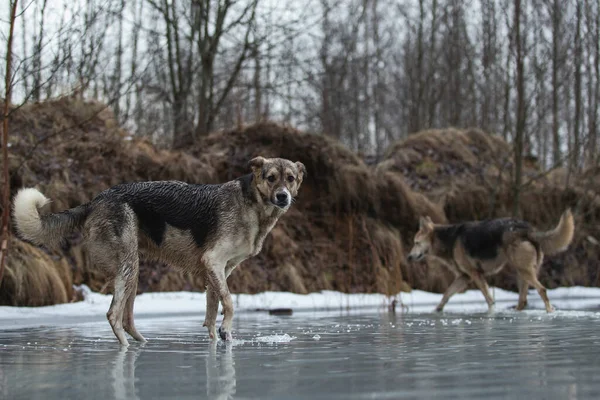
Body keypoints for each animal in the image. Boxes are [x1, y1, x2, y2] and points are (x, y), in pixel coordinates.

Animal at [14, 156, 304, 344]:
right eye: (271, 178)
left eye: (290, 179)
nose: (283, 197)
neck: (252, 204)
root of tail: (96, 200)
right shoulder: (213, 262)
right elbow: (230, 303)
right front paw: (225, 330)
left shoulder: (219, 271)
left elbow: (212, 313)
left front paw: (220, 338)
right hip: (127, 267)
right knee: (113, 315)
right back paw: (125, 349)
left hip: (133, 272)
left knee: (128, 319)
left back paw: (143, 344)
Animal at [406, 209, 576, 312]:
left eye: (416, 243)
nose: (408, 257)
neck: (449, 240)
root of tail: (528, 230)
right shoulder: (464, 277)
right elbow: (446, 295)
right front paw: (437, 310)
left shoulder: (475, 275)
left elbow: (489, 299)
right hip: (522, 273)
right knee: (523, 300)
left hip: (524, 272)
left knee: (542, 290)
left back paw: (549, 311)